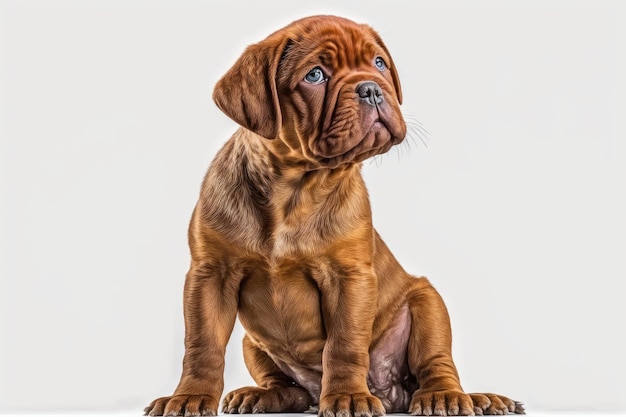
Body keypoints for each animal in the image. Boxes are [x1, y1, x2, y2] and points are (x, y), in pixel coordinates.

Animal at [145, 15, 520, 416]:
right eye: (315, 75)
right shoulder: (210, 276)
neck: (294, 189)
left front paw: (348, 397)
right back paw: (263, 395)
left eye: (379, 63)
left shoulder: (349, 278)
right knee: (289, 387)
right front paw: (190, 396)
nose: (371, 89)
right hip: (252, 342)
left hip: (427, 303)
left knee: (435, 365)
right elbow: (203, 346)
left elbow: (344, 345)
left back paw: (447, 397)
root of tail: (391, 393)